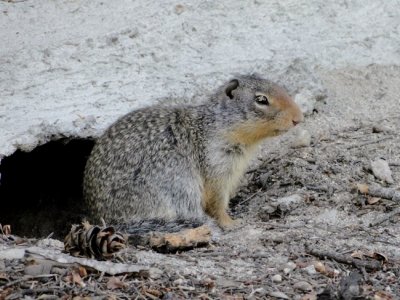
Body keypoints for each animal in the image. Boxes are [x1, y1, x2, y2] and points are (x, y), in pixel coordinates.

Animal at [83, 75, 304, 230]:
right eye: (261, 99)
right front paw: (231, 223)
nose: (298, 118)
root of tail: (104, 220)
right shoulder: (217, 166)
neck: (215, 126)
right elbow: (217, 202)